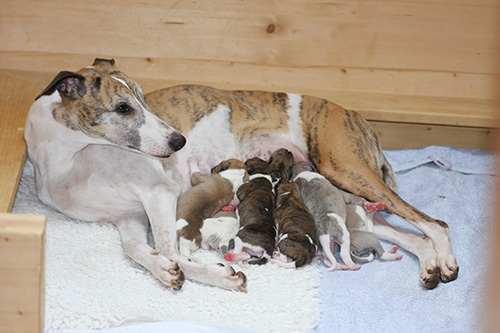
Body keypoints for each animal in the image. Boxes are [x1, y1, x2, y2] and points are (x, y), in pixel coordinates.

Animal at [25, 58, 458, 290]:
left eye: (144, 99)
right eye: (122, 107)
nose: (179, 140)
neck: (66, 159)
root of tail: (353, 113)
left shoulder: (157, 194)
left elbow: (171, 249)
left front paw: (216, 275)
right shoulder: (127, 218)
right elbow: (138, 251)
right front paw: (164, 271)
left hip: (346, 169)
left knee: (435, 224)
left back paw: (447, 261)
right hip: (350, 196)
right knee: (409, 234)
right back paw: (429, 266)